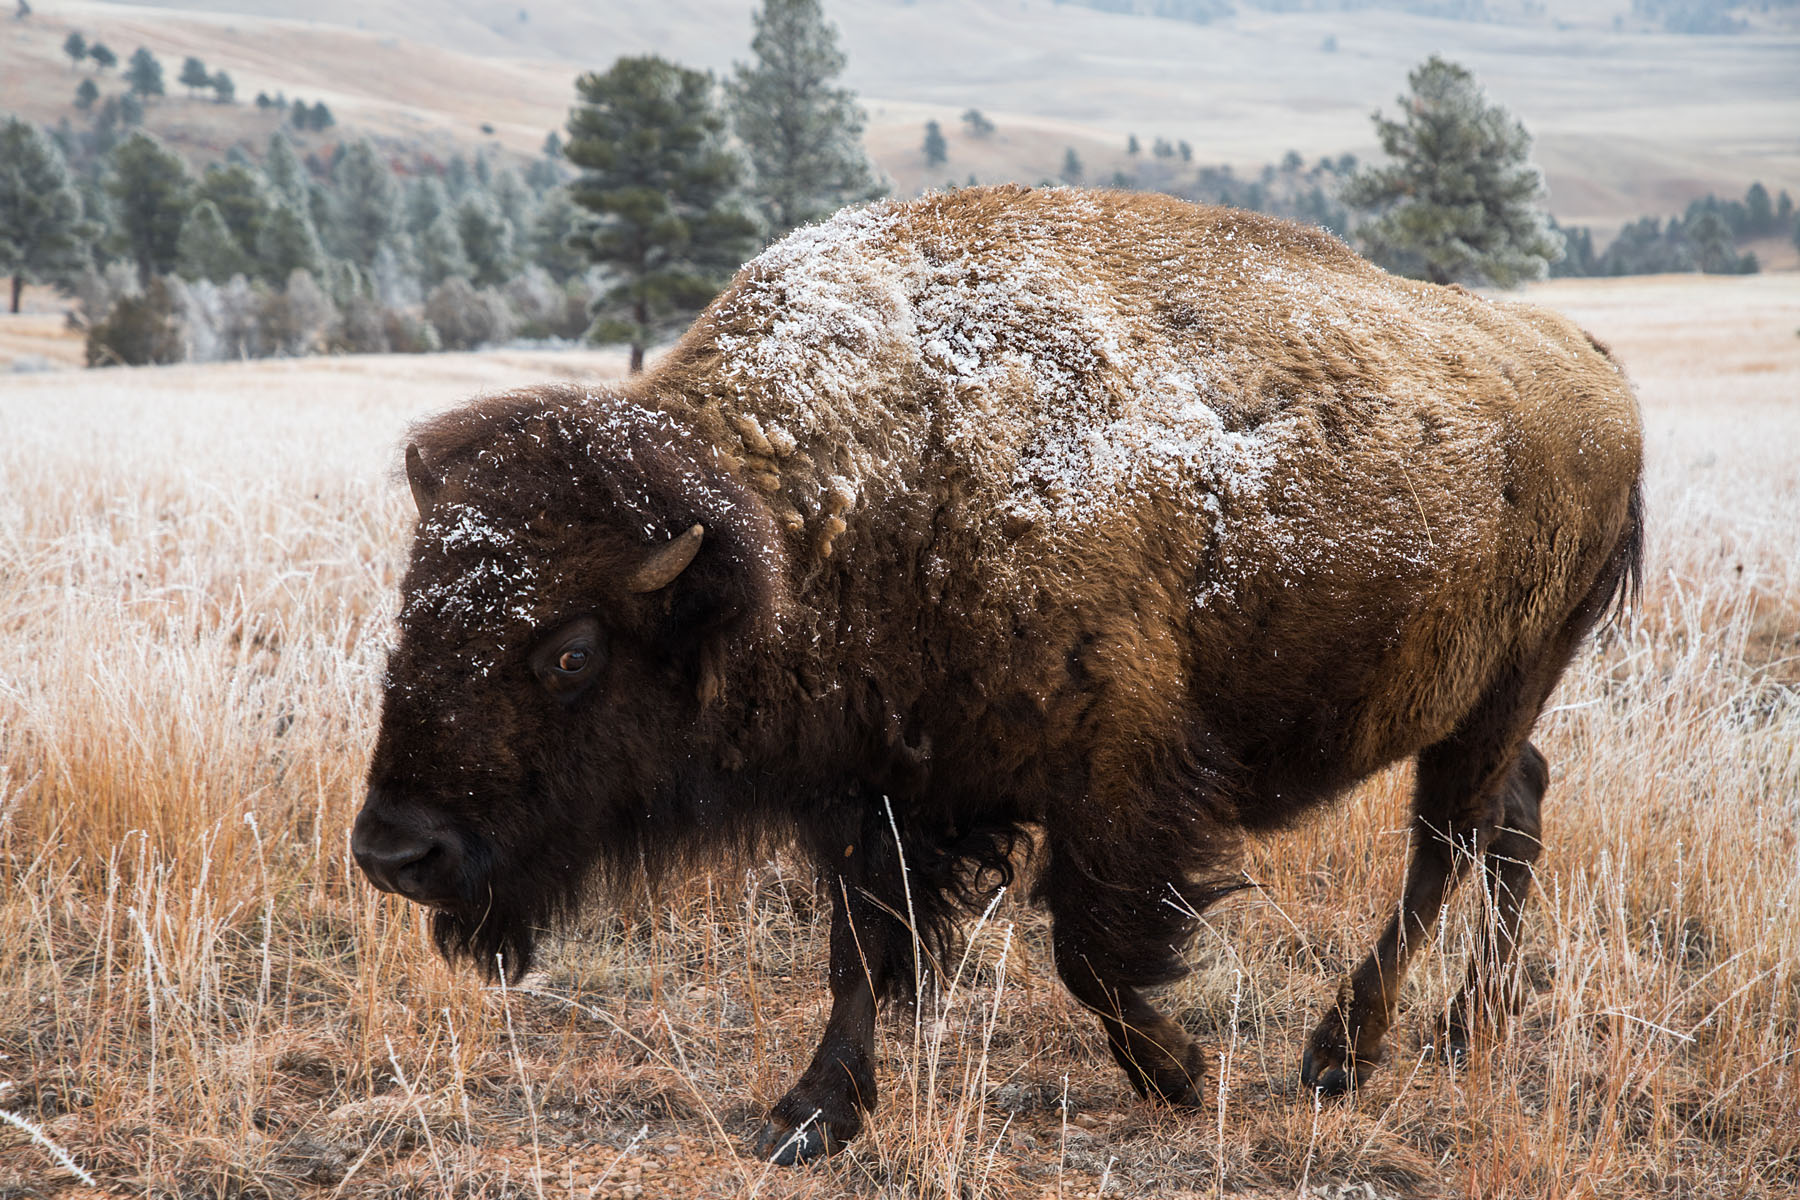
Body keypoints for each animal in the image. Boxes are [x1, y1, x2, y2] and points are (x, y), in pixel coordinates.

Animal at [352, 186, 1643, 1163]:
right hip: (1486, 703)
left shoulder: (1117, 781)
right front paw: (811, 1115)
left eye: (570, 651)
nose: (394, 851)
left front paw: (1180, 1074)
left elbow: (1087, 950)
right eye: (409, 611)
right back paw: (1467, 1031)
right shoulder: (875, 795)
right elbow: (865, 950)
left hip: (1494, 689)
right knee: (1516, 811)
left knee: (1445, 847)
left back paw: (1342, 1053)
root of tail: (1594, 370)